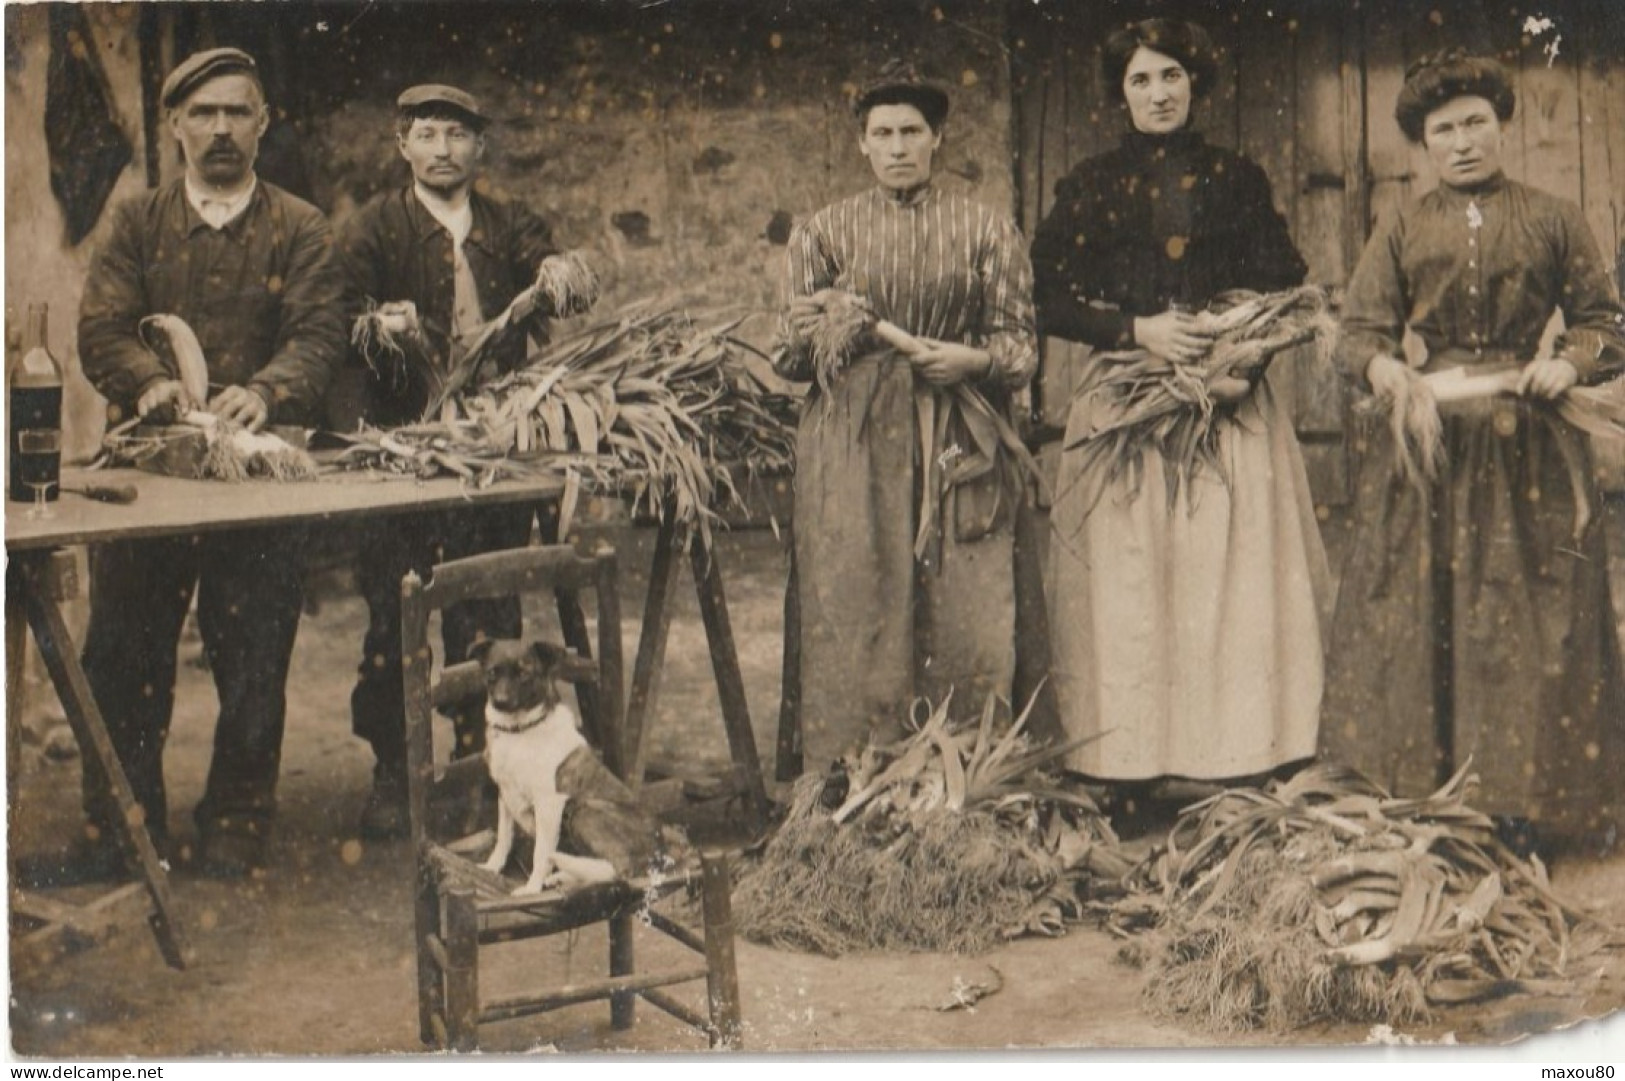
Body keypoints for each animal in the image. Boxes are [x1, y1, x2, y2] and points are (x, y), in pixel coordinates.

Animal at [468, 633, 669, 890]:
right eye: (492, 672)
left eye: (524, 674)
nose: (501, 702)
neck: (520, 730)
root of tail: (658, 853)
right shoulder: (505, 795)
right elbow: (504, 838)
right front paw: (492, 867)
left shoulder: (548, 804)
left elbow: (541, 853)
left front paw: (531, 889)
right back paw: (562, 876)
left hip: (586, 809)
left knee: (619, 868)